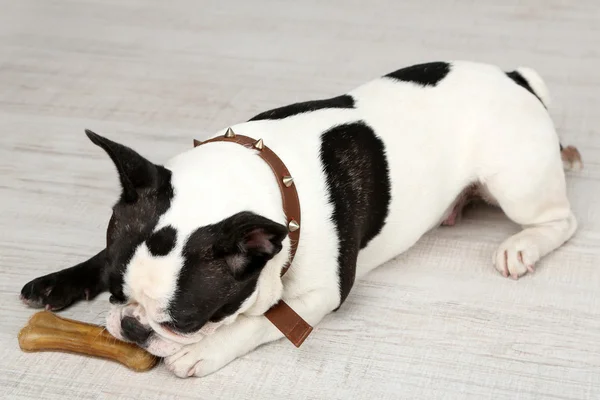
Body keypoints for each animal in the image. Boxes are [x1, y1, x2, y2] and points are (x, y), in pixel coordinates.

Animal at [19, 62, 580, 378]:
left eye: (186, 323)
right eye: (115, 293)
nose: (133, 328)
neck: (263, 174)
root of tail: (516, 80)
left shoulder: (319, 296)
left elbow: (261, 322)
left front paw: (207, 352)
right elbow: (98, 256)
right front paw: (60, 280)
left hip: (516, 182)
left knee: (562, 220)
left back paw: (522, 246)